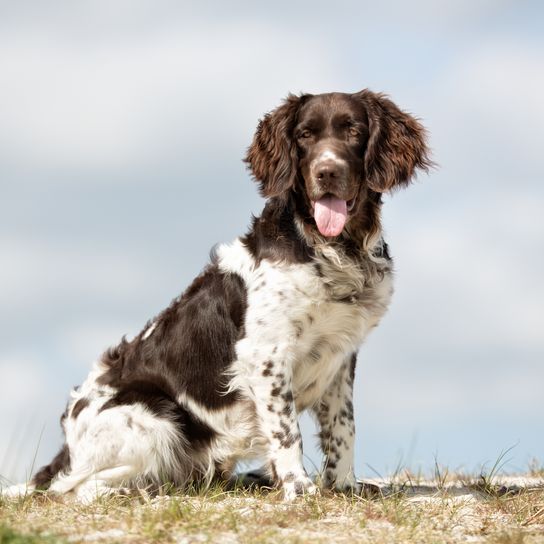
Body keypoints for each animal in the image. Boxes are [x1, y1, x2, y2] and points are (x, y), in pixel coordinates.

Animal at [3, 89, 430, 502]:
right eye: (304, 136)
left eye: (353, 131)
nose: (327, 172)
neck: (332, 249)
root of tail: (66, 450)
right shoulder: (267, 355)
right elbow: (286, 431)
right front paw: (298, 488)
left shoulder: (340, 357)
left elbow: (343, 430)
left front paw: (344, 487)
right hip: (154, 415)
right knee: (78, 489)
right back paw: (145, 493)